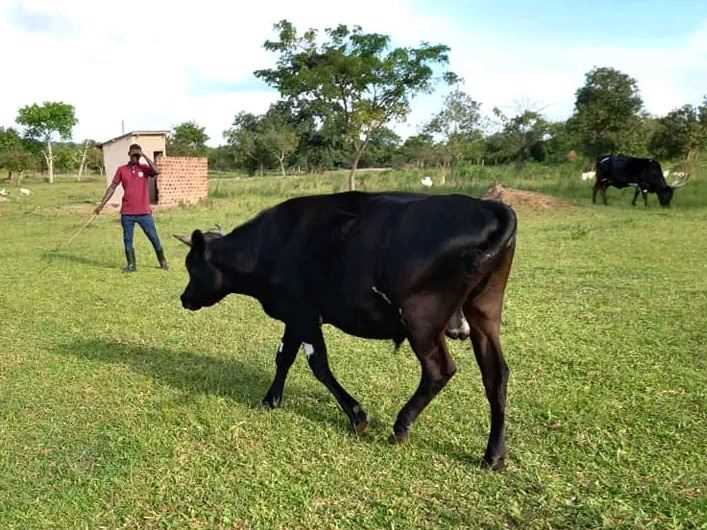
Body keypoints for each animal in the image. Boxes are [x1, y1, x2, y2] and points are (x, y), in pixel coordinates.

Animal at [176, 189, 520, 466]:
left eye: (192, 266)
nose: (184, 298)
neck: (271, 245)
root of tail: (485, 207)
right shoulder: (294, 316)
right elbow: (284, 357)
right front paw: (271, 399)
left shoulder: (304, 315)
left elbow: (318, 365)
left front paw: (357, 416)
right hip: (484, 312)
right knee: (496, 374)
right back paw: (494, 454)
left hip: (422, 321)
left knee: (439, 370)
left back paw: (400, 428)